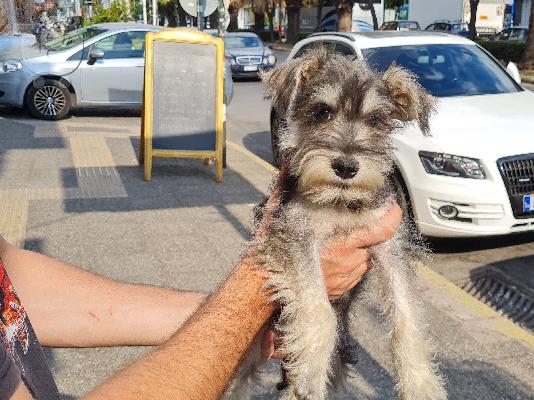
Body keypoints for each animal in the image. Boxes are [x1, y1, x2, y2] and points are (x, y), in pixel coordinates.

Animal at [226, 47, 448, 400]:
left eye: (376, 121)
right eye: (321, 112)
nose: (346, 167)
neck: (340, 202)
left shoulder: (390, 248)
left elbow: (407, 319)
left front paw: (421, 386)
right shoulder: (295, 235)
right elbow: (319, 310)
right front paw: (309, 370)